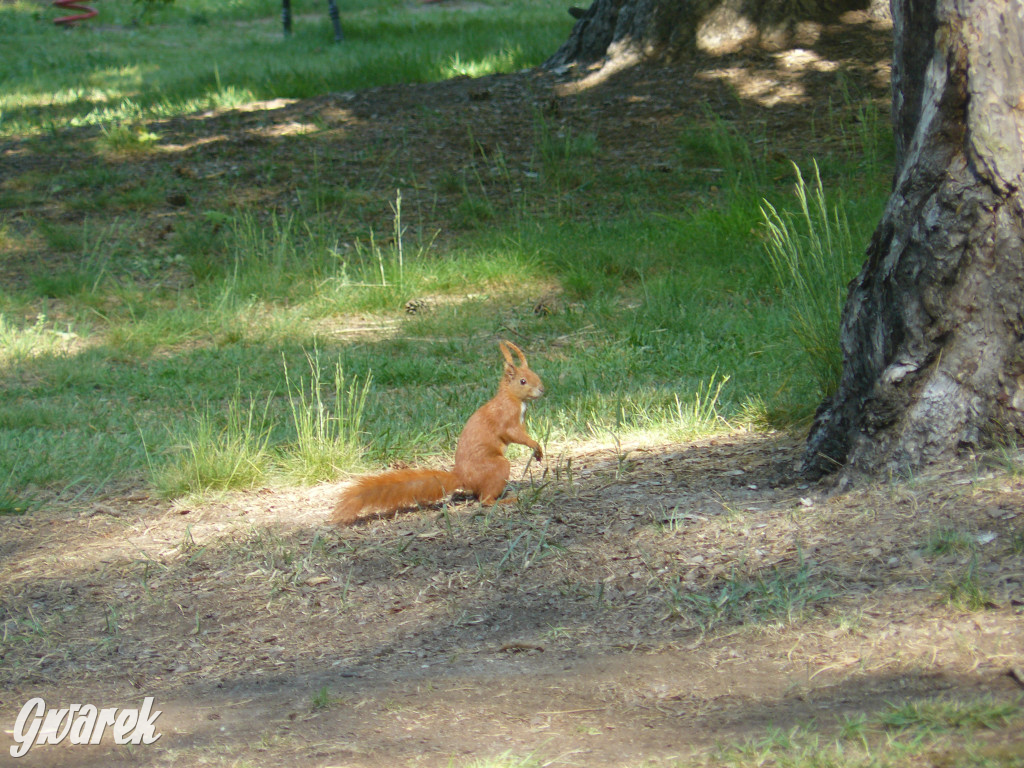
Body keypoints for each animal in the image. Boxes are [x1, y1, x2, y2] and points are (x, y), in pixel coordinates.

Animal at [333, 342, 544, 528]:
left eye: (535, 374)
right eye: (523, 381)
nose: (542, 389)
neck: (511, 397)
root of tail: (463, 477)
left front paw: (538, 451)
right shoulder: (506, 418)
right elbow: (513, 434)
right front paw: (535, 446)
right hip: (498, 466)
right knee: (484, 499)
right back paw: (505, 500)